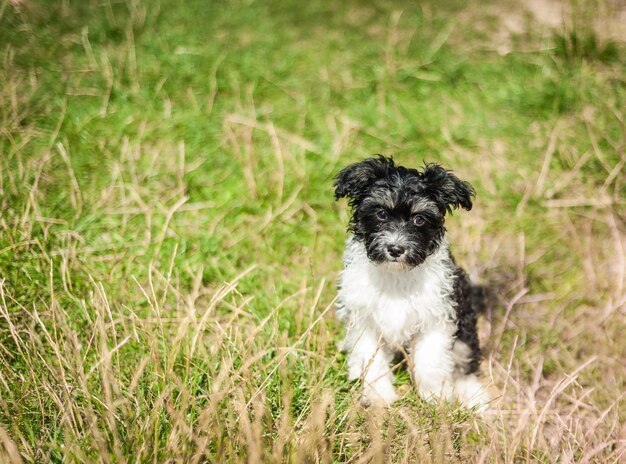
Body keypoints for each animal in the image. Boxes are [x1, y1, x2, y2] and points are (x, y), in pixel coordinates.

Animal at [334, 155, 490, 410]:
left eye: (419, 219)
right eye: (381, 214)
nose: (396, 249)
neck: (396, 274)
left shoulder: (437, 316)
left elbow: (431, 362)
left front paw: (436, 398)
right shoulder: (364, 319)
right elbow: (372, 360)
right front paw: (379, 397)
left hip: (465, 325)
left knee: (464, 362)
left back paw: (473, 397)